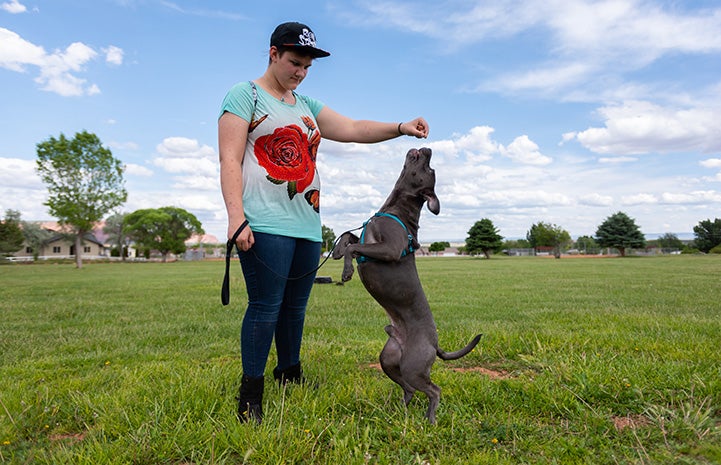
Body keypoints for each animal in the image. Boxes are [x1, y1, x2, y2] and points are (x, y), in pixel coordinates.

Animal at [334, 147, 480, 422]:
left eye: (430, 169)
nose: (427, 148)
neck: (395, 208)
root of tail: (435, 345)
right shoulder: (368, 237)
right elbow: (348, 237)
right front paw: (336, 251)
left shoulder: (389, 249)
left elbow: (353, 247)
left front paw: (347, 270)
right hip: (389, 359)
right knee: (409, 388)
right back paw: (399, 411)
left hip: (413, 365)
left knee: (433, 390)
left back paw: (430, 419)